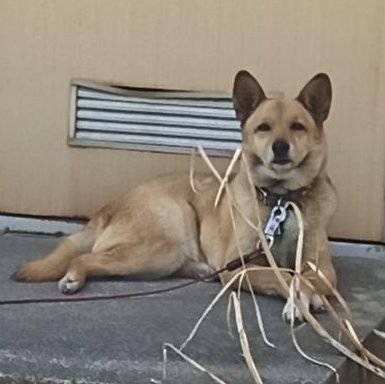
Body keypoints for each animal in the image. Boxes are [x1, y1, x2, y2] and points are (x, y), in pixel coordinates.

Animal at [13, 70, 334, 322]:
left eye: (297, 127)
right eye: (264, 128)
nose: (280, 147)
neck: (282, 200)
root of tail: (110, 207)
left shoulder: (323, 269)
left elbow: (306, 277)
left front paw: (309, 298)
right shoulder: (239, 268)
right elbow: (288, 277)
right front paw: (299, 302)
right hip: (164, 243)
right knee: (86, 258)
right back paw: (73, 276)